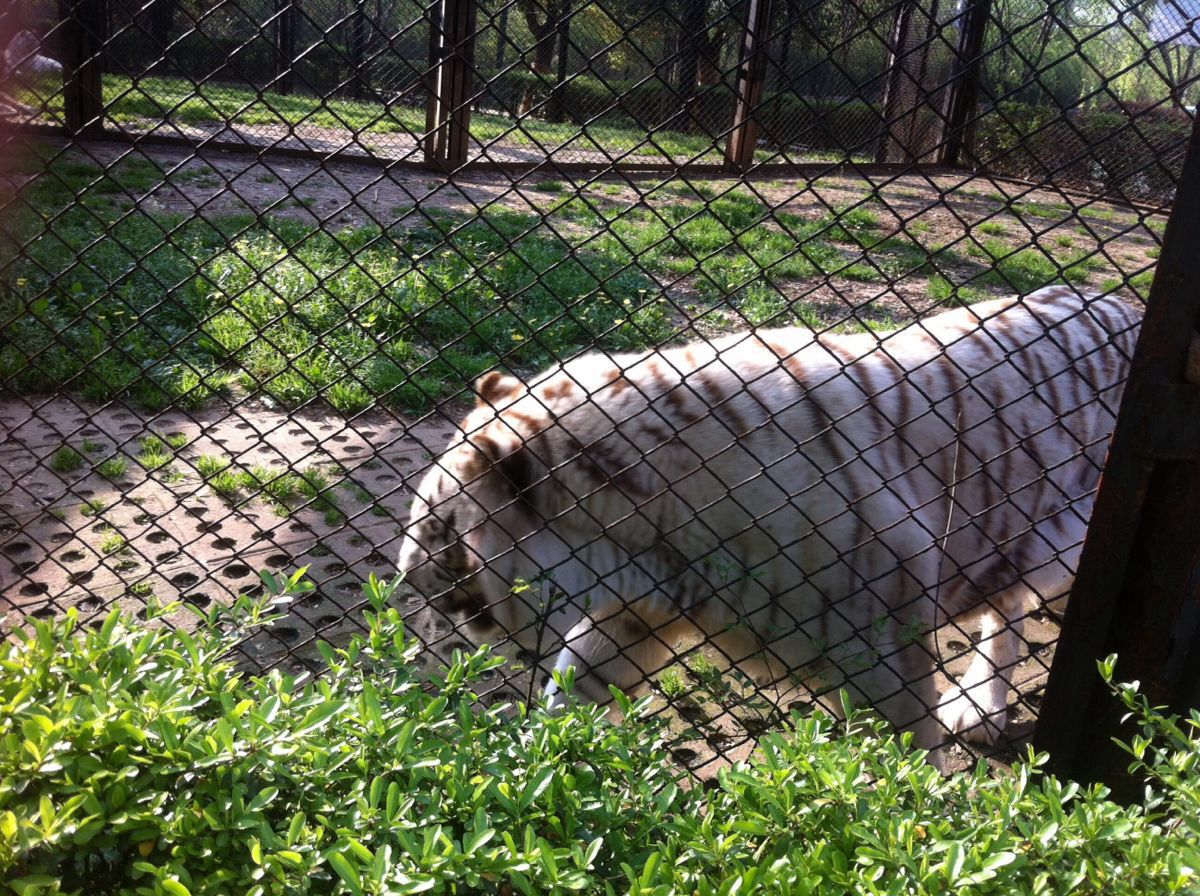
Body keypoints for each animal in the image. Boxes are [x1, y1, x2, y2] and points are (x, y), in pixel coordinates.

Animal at [396, 285, 1142, 758]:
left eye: (454, 578)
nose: (424, 656)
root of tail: (1127, 303)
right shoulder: (637, 614)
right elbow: (568, 691)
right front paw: (525, 776)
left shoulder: (883, 651)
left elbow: (908, 762)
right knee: (1008, 607)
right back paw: (981, 708)